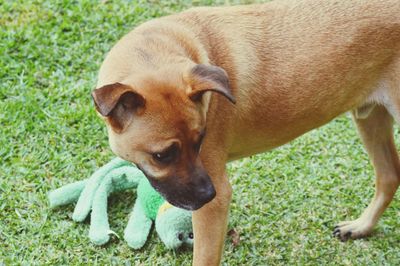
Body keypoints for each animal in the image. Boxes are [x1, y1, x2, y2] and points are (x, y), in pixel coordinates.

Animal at [90, 0, 400, 264]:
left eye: (200, 140)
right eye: (162, 155)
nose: (208, 195)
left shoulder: (213, 207)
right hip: (370, 117)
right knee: (389, 176)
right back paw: (361, 227)